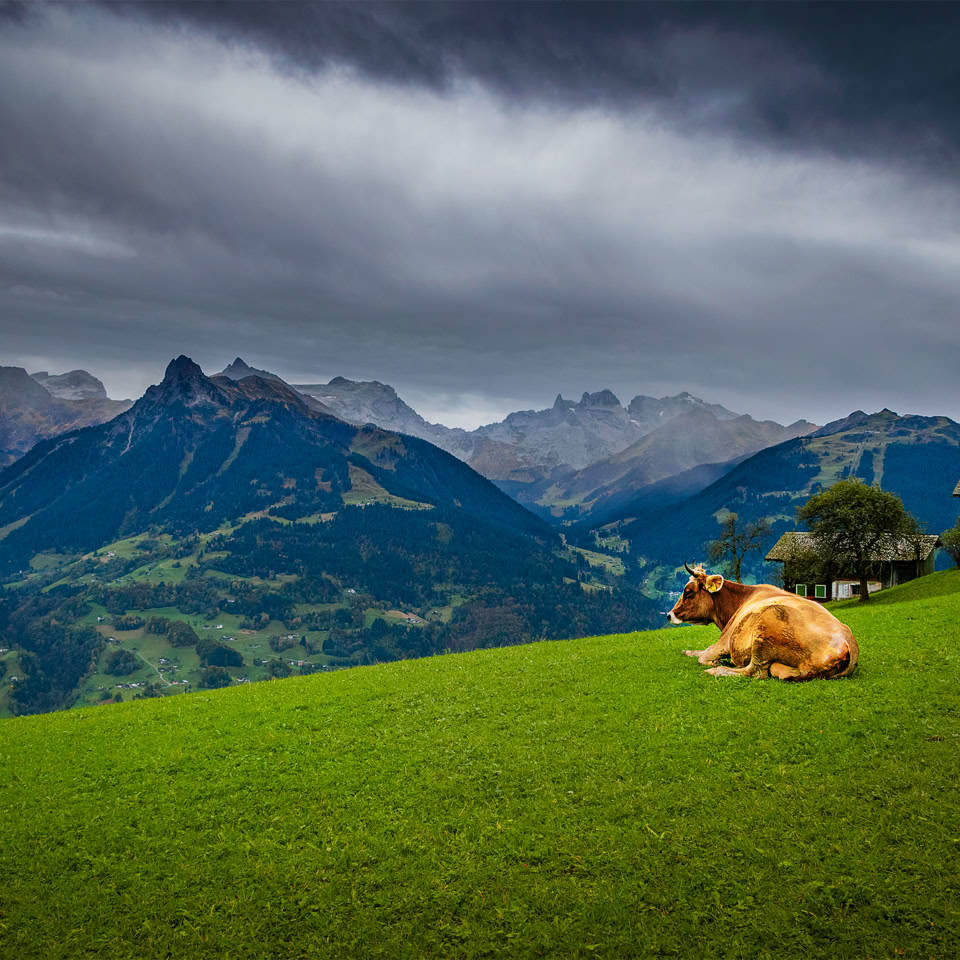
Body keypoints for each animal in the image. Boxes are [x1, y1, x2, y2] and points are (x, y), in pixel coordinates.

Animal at [667, 563, 858, 681]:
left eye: (688, 592)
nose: (669, 615)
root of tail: (848, 640)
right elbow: (701, 651)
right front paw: (687, 651)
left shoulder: (725, 642)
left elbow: (704, 656)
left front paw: (713, 662)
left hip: (765, 627)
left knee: (755, 672)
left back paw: (716, 671)